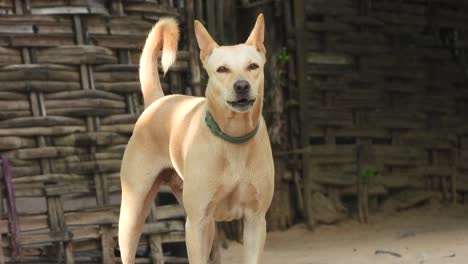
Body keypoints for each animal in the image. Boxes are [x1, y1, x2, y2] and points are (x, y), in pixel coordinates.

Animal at [118, 14, 274, 264]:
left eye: (253, 66)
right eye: (222, 69)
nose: (242, 86)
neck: (233, 138)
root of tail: (158, 102)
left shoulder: (255, 221)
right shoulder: (196, 224)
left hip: (207, 226)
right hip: (133, 213)